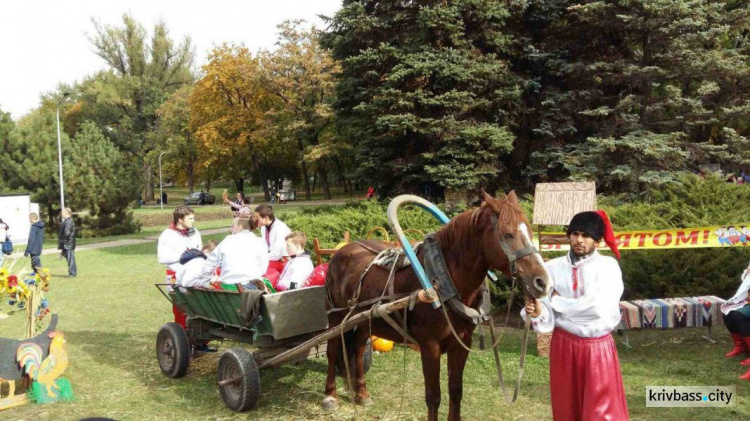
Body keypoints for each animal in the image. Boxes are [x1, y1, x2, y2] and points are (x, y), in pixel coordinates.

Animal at [324, 191, 552, 420]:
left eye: (530, 230)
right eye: (507, 234)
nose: (542, 282)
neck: (443, 281)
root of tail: (341, 252)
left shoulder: (461, 343)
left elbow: (456, 390)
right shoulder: (429, 346)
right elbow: (433, 397)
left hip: (365, 320)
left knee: (358, 348)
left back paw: (362, 393)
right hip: (335, 317)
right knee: (333, 350)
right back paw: (330, 396)